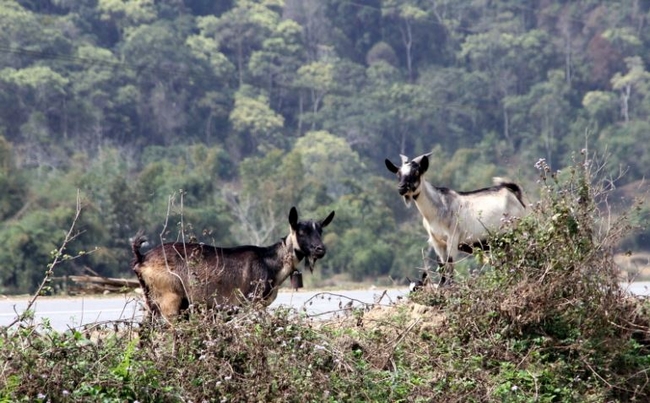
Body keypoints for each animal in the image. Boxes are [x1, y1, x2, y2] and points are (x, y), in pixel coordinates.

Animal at [131, 207, 334, 320]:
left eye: (320, 231)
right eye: (302, 232)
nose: (320, 249)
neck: (269, 261)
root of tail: (142, 258)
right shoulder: (249, 303)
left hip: (151, 302)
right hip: (169, 300)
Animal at [382, 152, 524, 288]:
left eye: (416, 172)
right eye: (398, 173)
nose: (401, 188)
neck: (438, 207)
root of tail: (514, 194)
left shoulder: (452, 238)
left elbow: (449, 266)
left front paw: (449, 286)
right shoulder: (436, 241)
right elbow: (441, 267)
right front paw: (441, 286)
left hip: (515, 235)